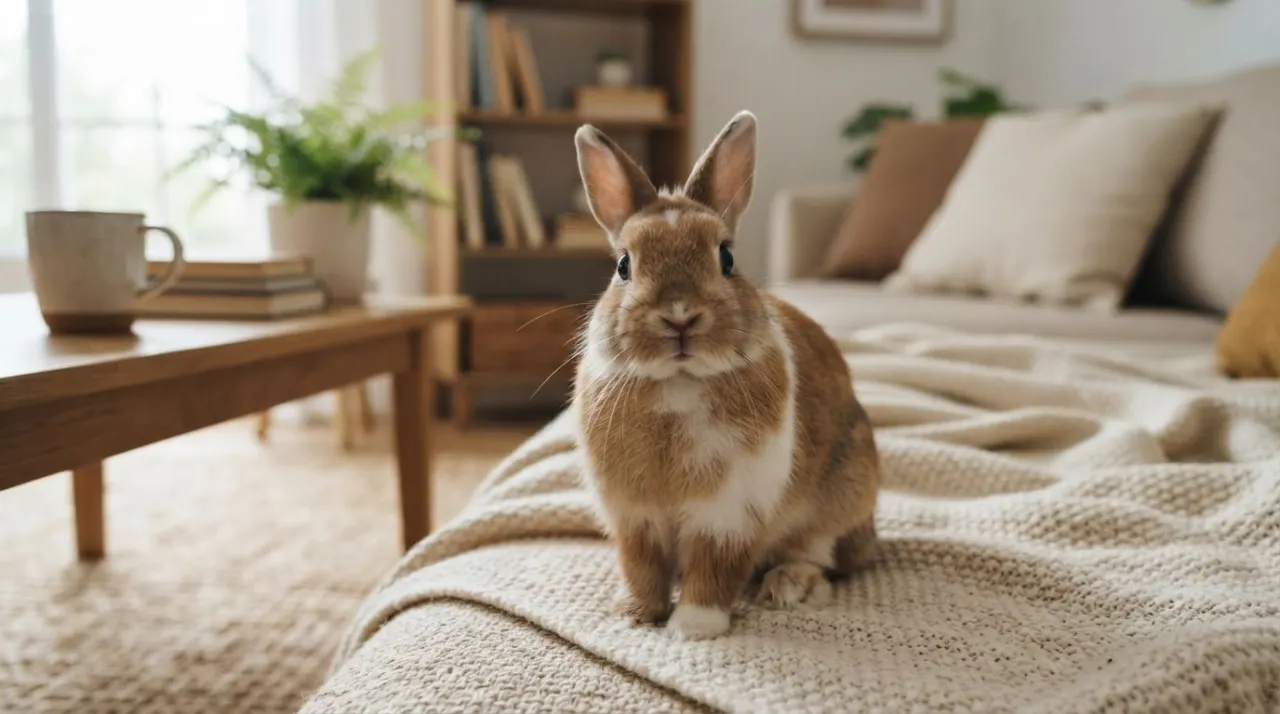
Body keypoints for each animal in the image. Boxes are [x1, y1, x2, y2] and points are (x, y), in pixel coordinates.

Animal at [571, 111, 880, 640]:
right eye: (624, 265)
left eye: (727, 258)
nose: (679, 317)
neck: (679, 383)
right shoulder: (635, 518)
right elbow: (641, 567)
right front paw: (636, 614)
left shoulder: (729, 513)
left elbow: (714, 568)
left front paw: (694, 627)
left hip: (841, 499)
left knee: (819, 556)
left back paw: (788, 585)